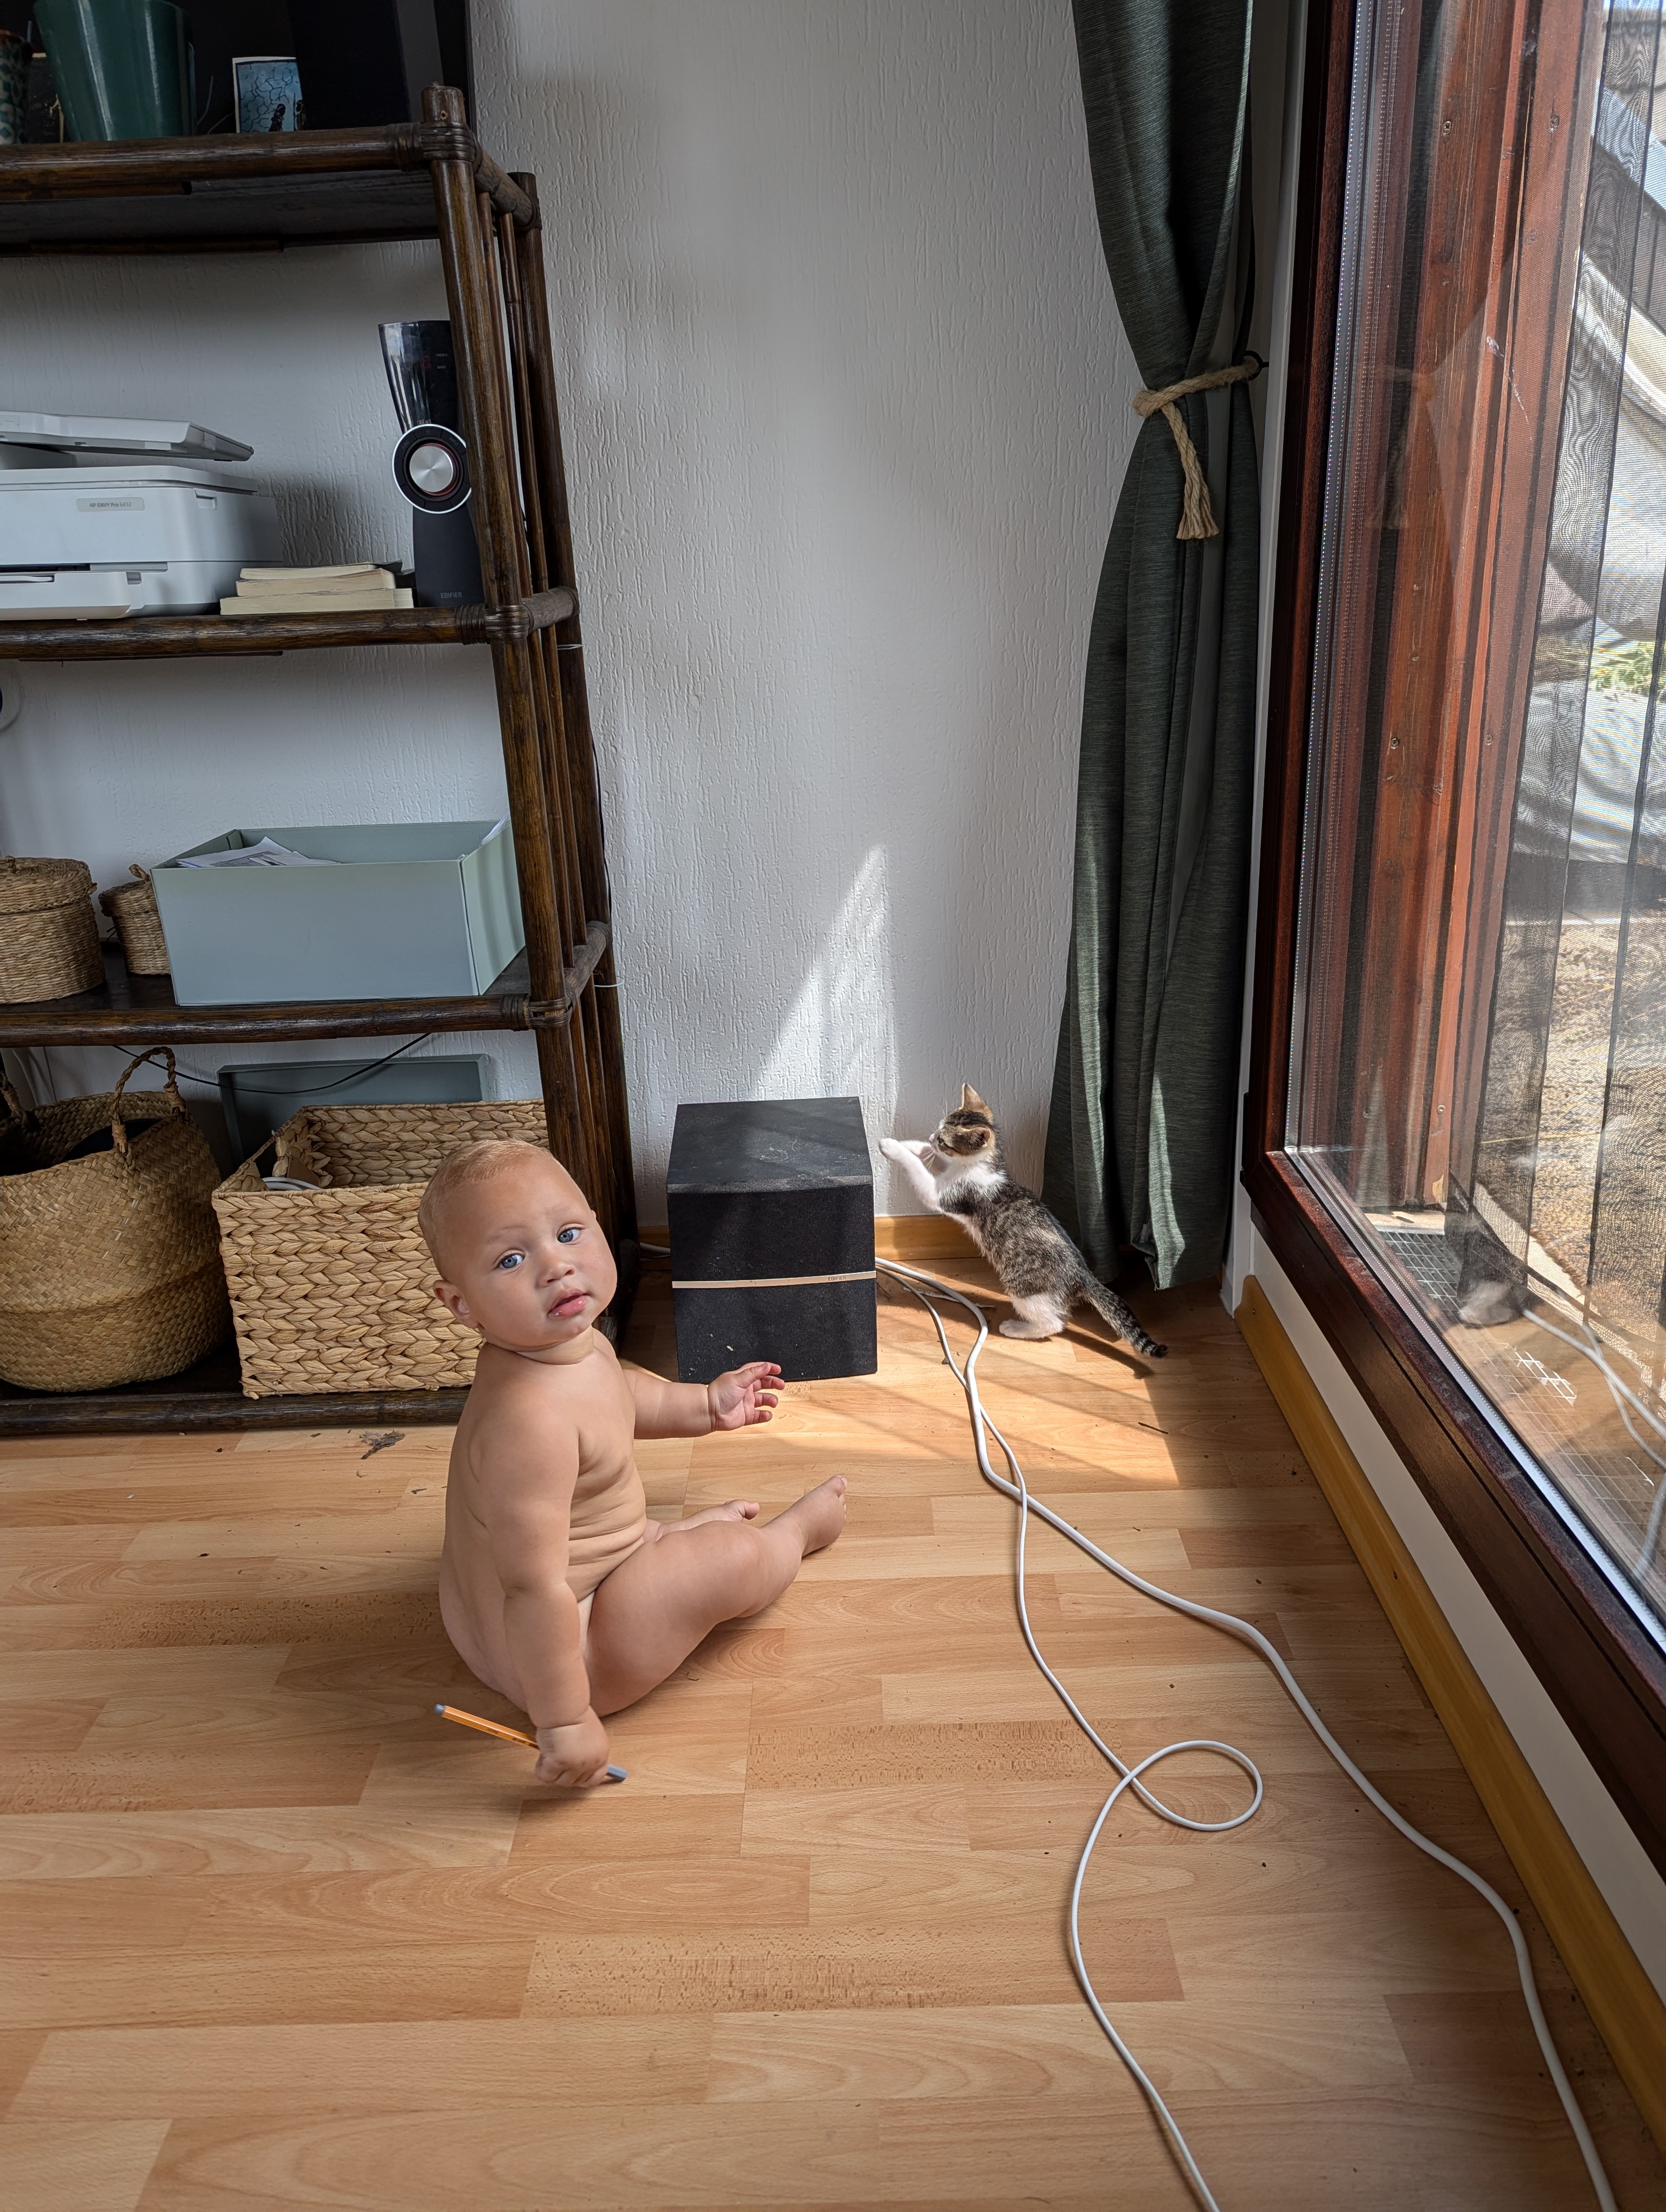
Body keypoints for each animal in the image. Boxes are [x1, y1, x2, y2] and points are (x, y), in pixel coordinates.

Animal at [879, 1086, 1167, 1359]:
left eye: (943, 1140)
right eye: (938, 1130)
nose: (932, 1138)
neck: (977, 1168)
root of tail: (1084, 1275)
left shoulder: (949, 1196)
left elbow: (921, 1174)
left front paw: (893, 1148)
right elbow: (931, 1160)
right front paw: (914, 1145)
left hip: (1023, 1286)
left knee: (1054, 1323)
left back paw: (1017, 1328)